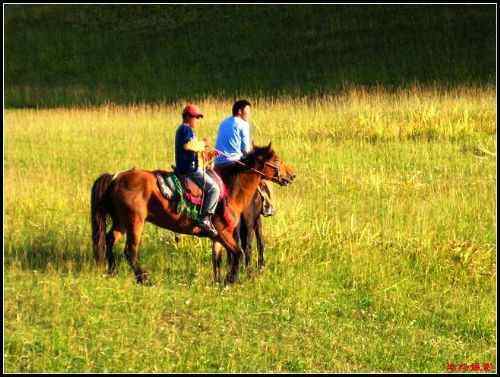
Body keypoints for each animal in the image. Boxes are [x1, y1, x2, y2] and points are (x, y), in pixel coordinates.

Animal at [91, 142, 294, 284]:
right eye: (276, 160)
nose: (292, 175)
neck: (231, 187)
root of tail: (116, 177)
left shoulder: (217, 236)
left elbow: (218, 258)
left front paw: (219, 281)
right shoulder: (224, 232)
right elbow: (238, 252)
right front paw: (231, 280)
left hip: (121, 222)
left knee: (110, 238)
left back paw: (112, 270)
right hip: (135, 222)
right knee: (130, 250)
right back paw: (144, 278)